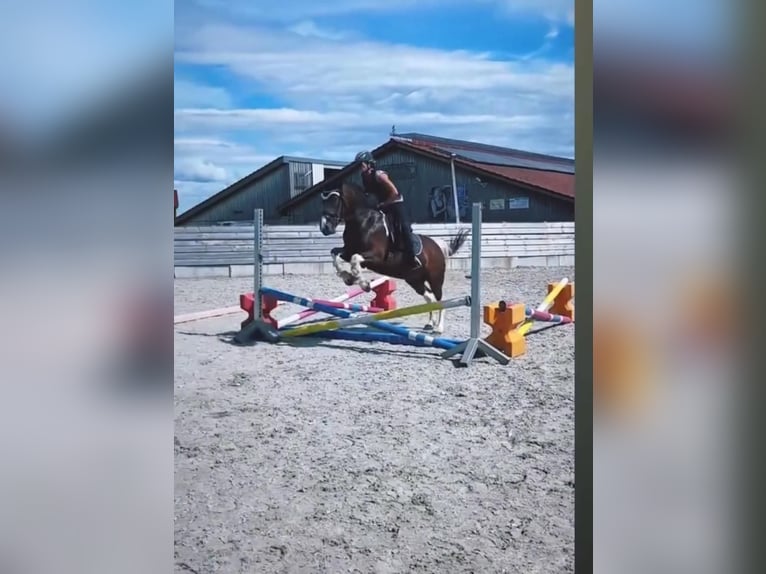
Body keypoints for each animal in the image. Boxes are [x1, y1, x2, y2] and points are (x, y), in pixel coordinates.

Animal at [316, 180, 468, 332]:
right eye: (323, 201)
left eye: (334, 200)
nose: (325, 228)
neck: (363, 221)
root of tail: (437, 246)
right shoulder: (347, 251)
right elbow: (335, 255)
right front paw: (348, 278)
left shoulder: (376, 256)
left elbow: (355, 259)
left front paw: (364, 284)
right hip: (415, 280)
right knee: (430, 298)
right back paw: (430, 324)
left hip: (435, 278)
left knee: (439, 298)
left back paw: (439, 328)